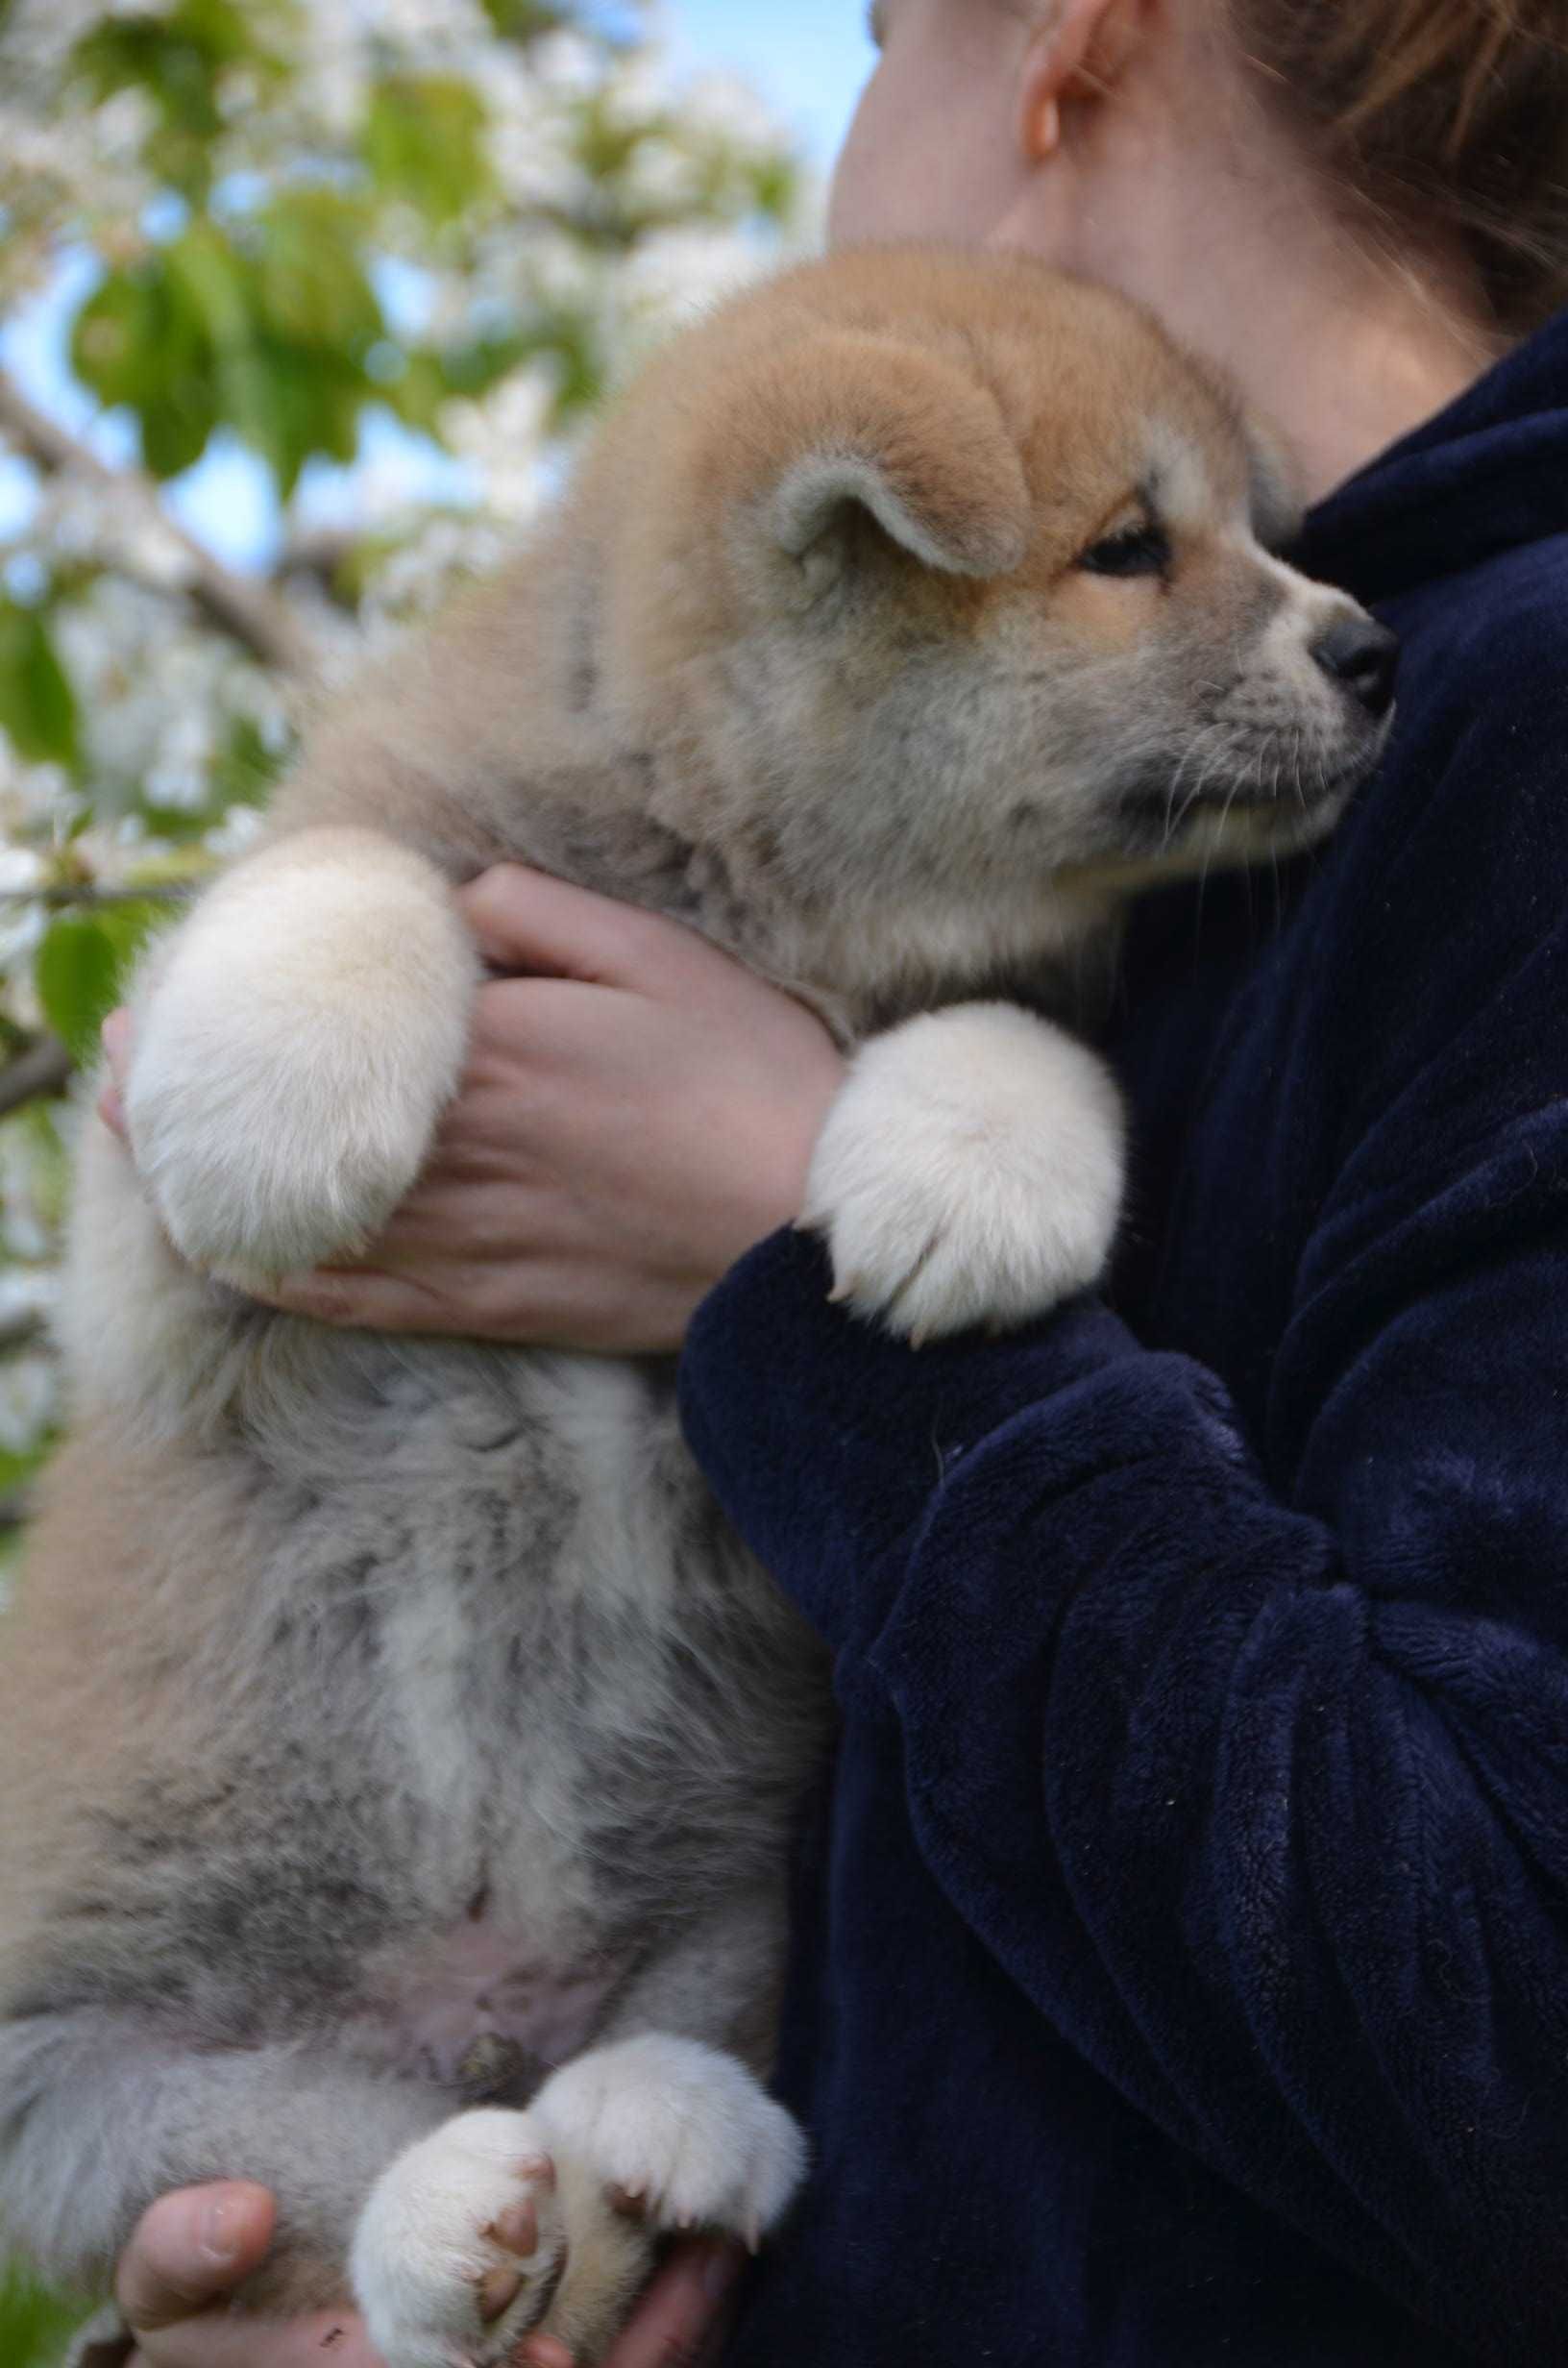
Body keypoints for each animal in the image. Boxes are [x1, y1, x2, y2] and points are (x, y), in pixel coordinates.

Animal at [0, 245, 1402, 2368]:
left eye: (1254, 527)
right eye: (1128, 547)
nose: (1375, 651)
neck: (753, 898)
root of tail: (469, 2019)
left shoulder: (1029, 993)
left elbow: (1012, 1046)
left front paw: (962, 1168)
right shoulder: (158, 1282)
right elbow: (343, 873)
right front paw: (280, 1088)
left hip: (730, 1913)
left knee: (624, 2084)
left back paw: (659, 2135)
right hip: (82, 2086)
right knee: (304, 2176)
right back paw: (456, 2214)